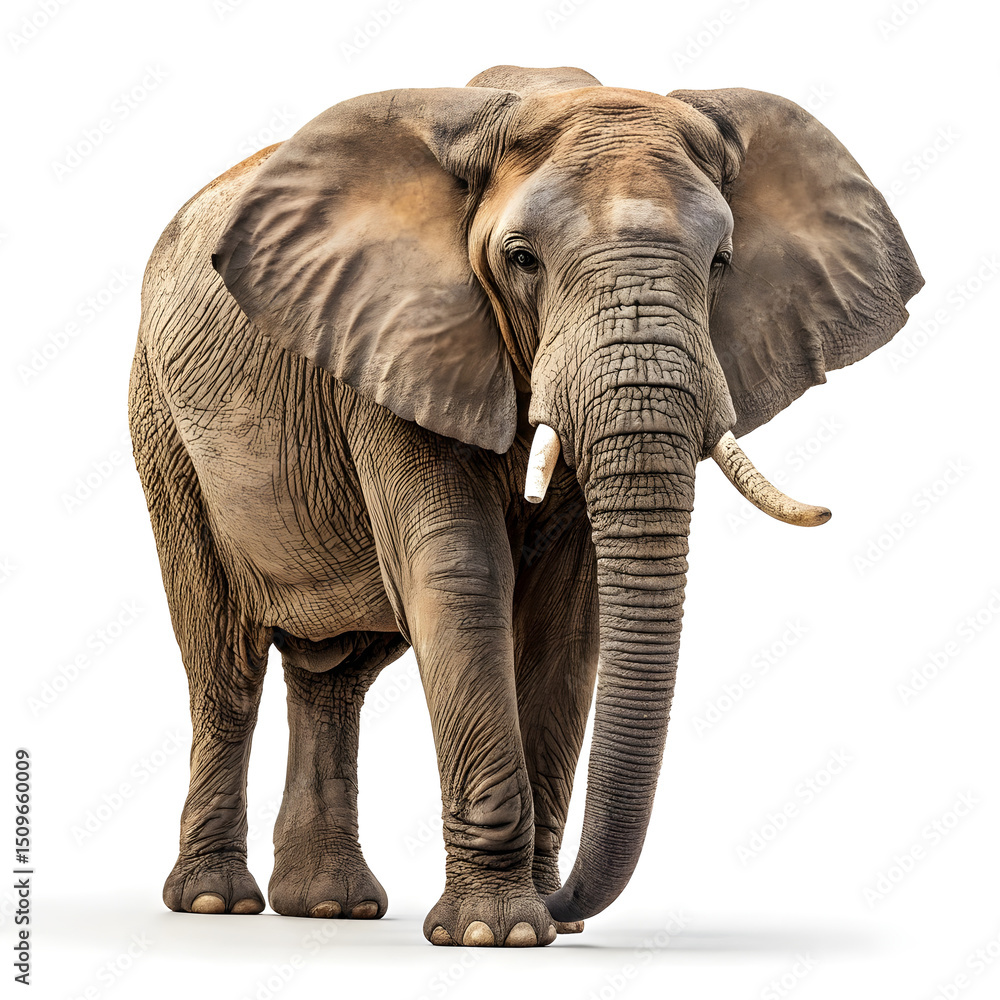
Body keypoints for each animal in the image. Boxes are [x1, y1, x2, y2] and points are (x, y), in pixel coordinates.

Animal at [128, 64, 922, 947]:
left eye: (721, 261)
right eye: (520, 259)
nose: (569, 905)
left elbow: (568, 614)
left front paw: (538, 920)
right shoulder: (394, 342)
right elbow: (460, 576)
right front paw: (496, 932)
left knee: (336, 675)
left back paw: (333, 906)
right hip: (163, 428)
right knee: (224, 663)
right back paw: (214, 901)